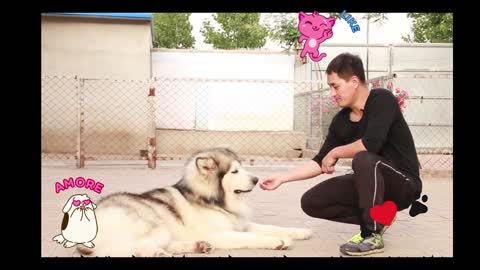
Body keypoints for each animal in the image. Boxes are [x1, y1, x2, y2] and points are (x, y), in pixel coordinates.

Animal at [77, 147, 314, 256]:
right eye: (235, 171)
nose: (257, 180)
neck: (210, 200)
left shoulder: (239, 224)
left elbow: (268, 226)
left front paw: (299, 231)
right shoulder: (222, 234)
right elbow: (253, 237)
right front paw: (277, 241)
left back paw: (198, 245)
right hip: (154, 224)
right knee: (140, 248)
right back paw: (161, 254)